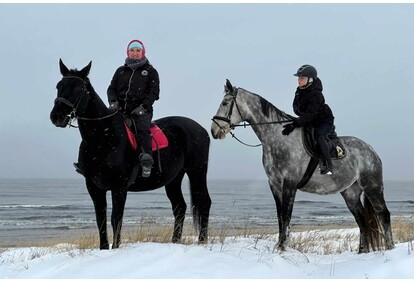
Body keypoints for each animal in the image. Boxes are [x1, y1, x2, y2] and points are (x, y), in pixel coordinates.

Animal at [50, 58, 212, 250]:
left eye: (78, 89)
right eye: (59, 86)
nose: (57, 116)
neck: (103, 137)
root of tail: (201, 129)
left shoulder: (119, 187)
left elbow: (116, 219)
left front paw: (115, 248)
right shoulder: (94, 187)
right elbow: (100, 219)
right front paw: (103, 249)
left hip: (197, 171)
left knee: (204, 202)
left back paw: (202, 242)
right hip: (174, 179)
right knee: (179, 207)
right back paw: (175, 242)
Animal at [212, 79, 392, 253]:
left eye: (225, 103)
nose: (214, 130)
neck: (279, 138)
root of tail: (371, 150)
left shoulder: (289, 184)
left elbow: (286, 216)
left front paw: (282, 247)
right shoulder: (275, 185)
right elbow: (280, 216)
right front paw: (279, 245)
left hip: (372, 186)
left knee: (383, 214)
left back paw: (389, 247)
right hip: (350, 192)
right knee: (361, 220)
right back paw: (362, 251)